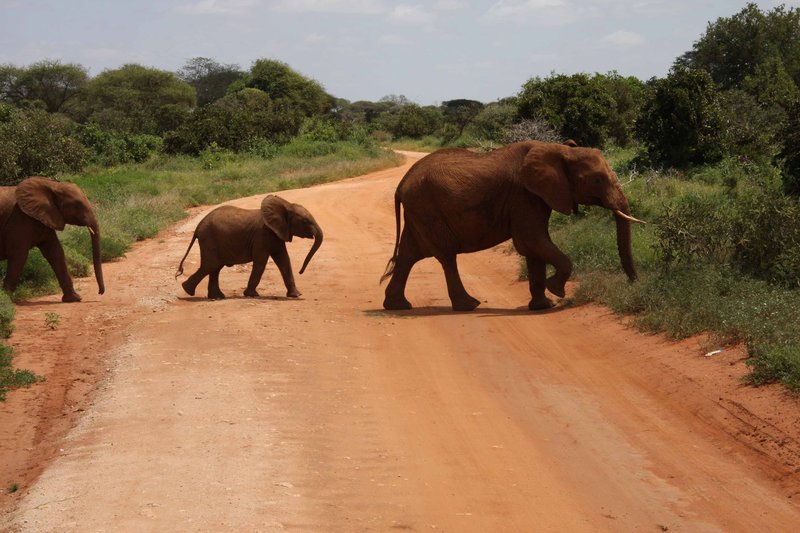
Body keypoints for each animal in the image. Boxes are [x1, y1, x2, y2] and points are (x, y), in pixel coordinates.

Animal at [176, 194, 323, 300]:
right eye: (305, 221)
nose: (300, 272)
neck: (285, 205)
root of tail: (198, 227)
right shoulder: (262, 235)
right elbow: (261, 262)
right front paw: (251, 294)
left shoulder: (277, 234)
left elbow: (284, 261)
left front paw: (296, 295)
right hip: (209, 239)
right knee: (211, 265)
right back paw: (188, 291)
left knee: (215, 267)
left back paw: (215, 296)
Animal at [381, 140, 644, 312]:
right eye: (598, 180)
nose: (633, 284)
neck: (560, 149)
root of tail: (401, 183)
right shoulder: (523, 195)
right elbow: (532, 241)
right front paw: (556, 291)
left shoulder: (536, 196)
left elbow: (534, 248)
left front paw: (542, 306)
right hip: (428, 209)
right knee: (446, 256)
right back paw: (468, 305)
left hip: (420, 212)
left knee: (408, 255)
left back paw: (398, 306)